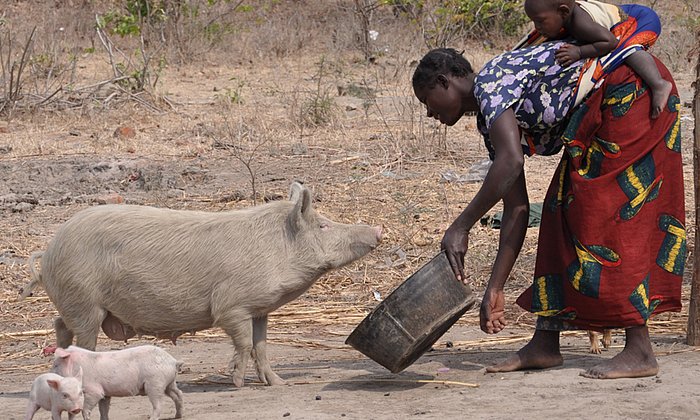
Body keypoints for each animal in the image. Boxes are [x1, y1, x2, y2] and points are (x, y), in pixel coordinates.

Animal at [21, 181, 382, 387]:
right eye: (323, 225)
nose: (377, 230)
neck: (275, 249)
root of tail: (49, 251)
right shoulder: (231, 305)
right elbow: (244, 343)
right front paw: (236, 382)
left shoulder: (259, 309)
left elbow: (262, 345)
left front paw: (277, 384)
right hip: (84, 302)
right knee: (82, 340)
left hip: (76, 306)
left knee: (60, 325)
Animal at [52, 345, 183, 420]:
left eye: (56, 365)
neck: (77, 365)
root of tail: (173, 361)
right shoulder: (105, 393)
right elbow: (103, 410)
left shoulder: (94, 390)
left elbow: (86, 408)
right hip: (169, 383)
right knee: (178, 394)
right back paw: (177, 416)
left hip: (155, 383)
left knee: (159, 404)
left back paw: (152, 418)